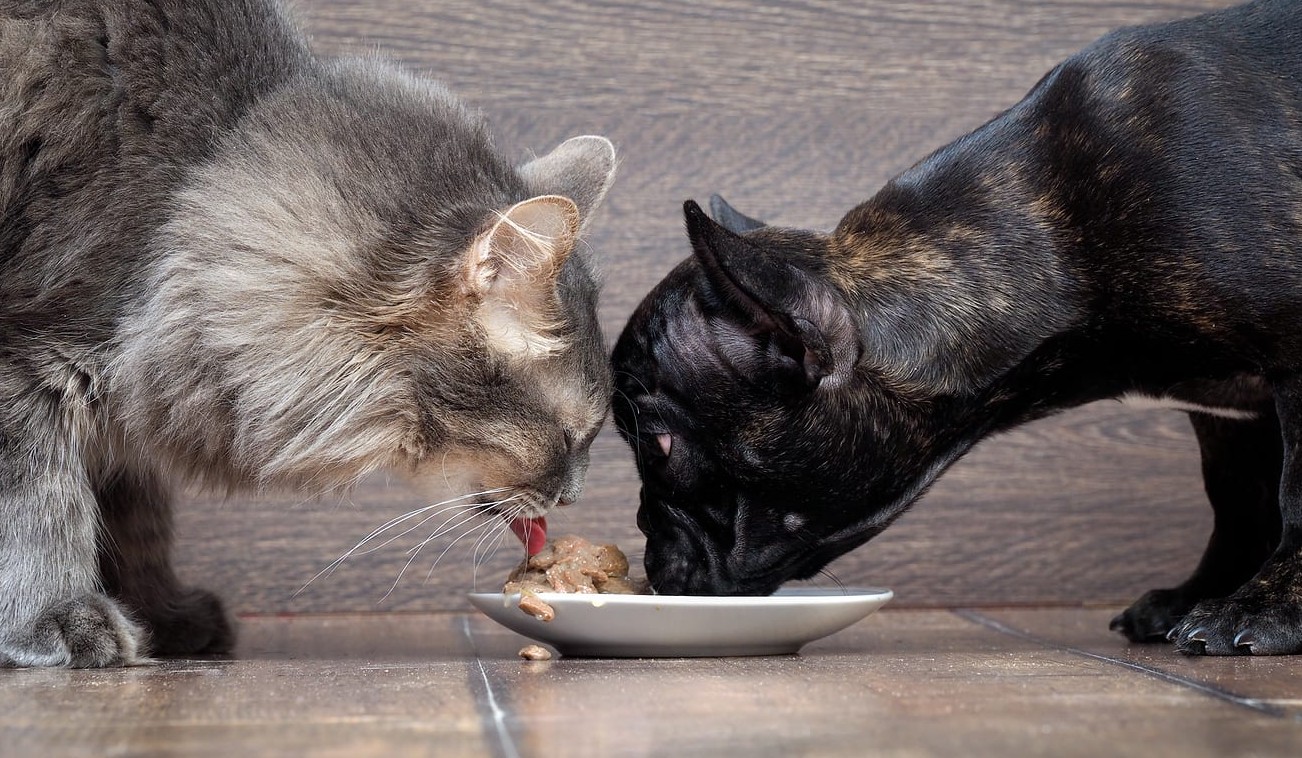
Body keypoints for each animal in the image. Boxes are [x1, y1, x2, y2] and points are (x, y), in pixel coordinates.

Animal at [1, 0, 619, 666]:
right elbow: (39, 508)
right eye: (569, 435)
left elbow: (137, 524)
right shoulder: (32, 359)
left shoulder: (132, 409)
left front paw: (163, 616)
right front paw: (56, 617)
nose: (574, 495)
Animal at [614, 0, 1302, 656]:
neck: (1062, 242)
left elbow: (1291, 499)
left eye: (657, 447)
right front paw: (1198, 595)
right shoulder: (1226, 416)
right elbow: (1237, 503)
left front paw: (1261, 611)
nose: (643, 536)